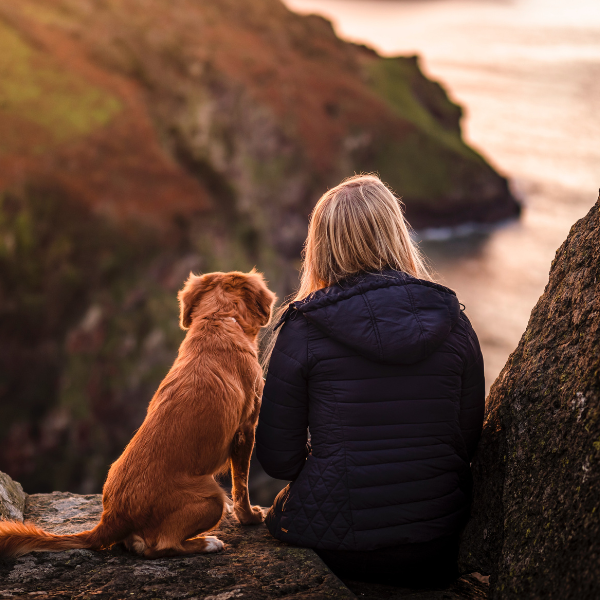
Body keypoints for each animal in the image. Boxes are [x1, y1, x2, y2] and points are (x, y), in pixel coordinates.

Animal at [0, 270, 276, 560]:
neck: (218, 319)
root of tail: (112, 517)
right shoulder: (246, 428)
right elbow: (241, 483)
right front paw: (250, 517)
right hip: (211, 497)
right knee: (161, 545)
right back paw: (206, 543)